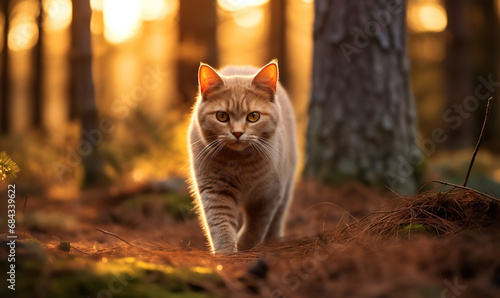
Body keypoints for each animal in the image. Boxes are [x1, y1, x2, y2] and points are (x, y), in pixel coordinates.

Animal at [188, 60, 296, 254]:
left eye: (253, 116)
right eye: (221, 116)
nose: (237, 133)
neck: (240, 164)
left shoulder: (268, 196)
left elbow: (256, 227)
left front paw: (246, 247)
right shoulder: (215, 191)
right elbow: (221, 226)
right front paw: (226, 254)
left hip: (286, 184)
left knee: (277, 218)